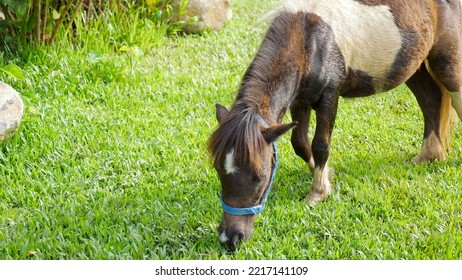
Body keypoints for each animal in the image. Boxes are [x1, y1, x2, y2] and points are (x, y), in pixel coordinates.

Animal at [207, 0, 462, 249]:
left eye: (259, 176)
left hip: (445, 60)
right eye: (219, 169)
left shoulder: (329, 97)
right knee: (430, 102)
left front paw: (318, 193)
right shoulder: (301, 101)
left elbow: (320, 145)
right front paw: (327, 174)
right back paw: (428, 156)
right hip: (415, 66)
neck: (310, 40)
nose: (230, 238)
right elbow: (300, 143)